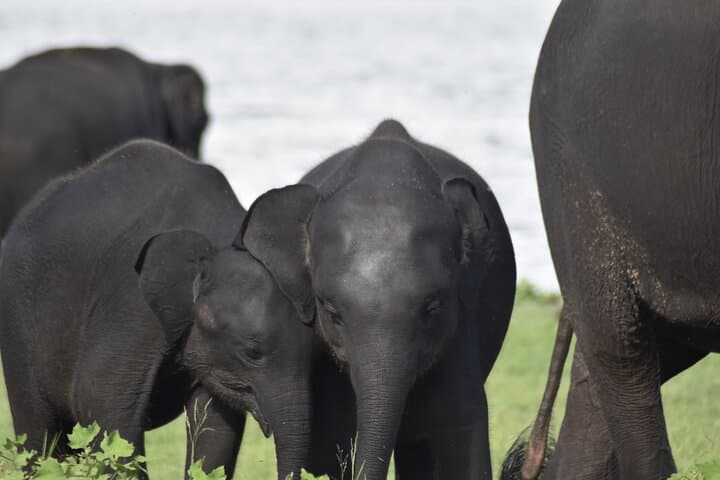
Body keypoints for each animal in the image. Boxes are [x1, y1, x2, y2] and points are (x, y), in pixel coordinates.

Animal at [0, 140, 315, 480]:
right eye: (252, 352)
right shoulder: (132, 306)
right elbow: (102, 404)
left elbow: (216, 428)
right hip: (16, 319)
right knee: (40, 436)